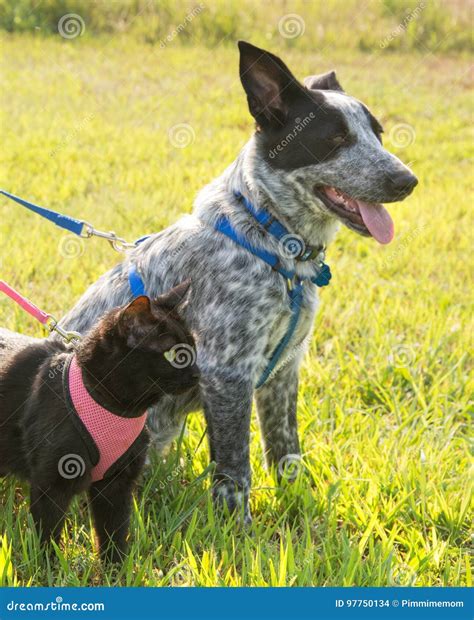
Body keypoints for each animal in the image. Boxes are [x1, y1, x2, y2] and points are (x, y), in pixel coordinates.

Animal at [0, 280, 199, 560]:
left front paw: (115, 568)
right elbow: (48, 536)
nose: (198, 374)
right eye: (175, 356)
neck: (118, 409)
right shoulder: (52, 483)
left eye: (193, 348)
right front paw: (48, 565)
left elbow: (114, 532)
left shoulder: (117, 485)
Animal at [37, 41, 416, 520]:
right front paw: (239, 529)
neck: (271, 241)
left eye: (377, 134)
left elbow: (286, 450)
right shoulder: (227, 372)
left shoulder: (284, 369)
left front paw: (297, 507)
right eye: (335, 139)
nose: (407, 181)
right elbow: (236, 470)